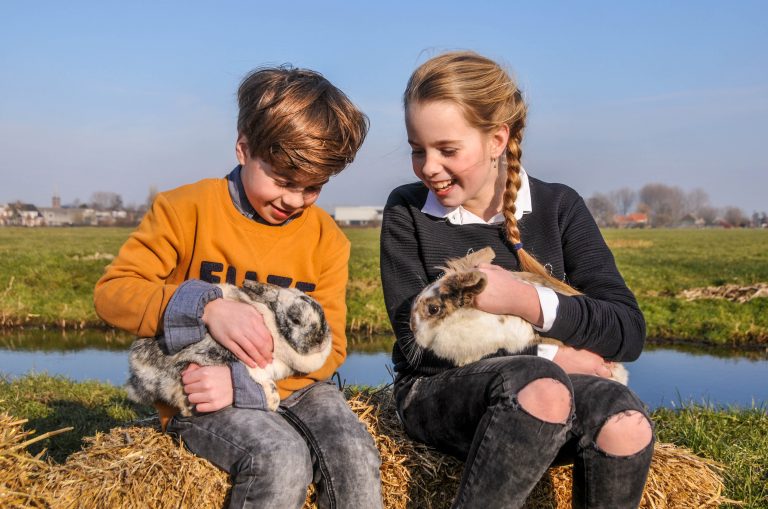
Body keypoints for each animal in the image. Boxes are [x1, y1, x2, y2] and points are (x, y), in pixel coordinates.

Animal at [125, 280, 330, 414]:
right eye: (295, 320)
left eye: (323, 316)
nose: (320, 340)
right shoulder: (253, 365)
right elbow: (270, 388)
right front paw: (272, 404)